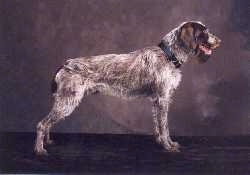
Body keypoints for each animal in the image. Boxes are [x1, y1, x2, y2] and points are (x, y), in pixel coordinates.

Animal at [34, 20, 221, 156]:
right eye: (204, 32)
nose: (219, 41)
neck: (168, 55)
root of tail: (65, 65)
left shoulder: (156, 101)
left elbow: (158, 126)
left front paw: (162, 142)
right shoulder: (162, 99)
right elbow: (165, 127)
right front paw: (168, 146)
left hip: (63, 101)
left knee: (48, 123)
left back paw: (47, 142)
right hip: (67, 101)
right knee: (42, 124)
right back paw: (40, 150)